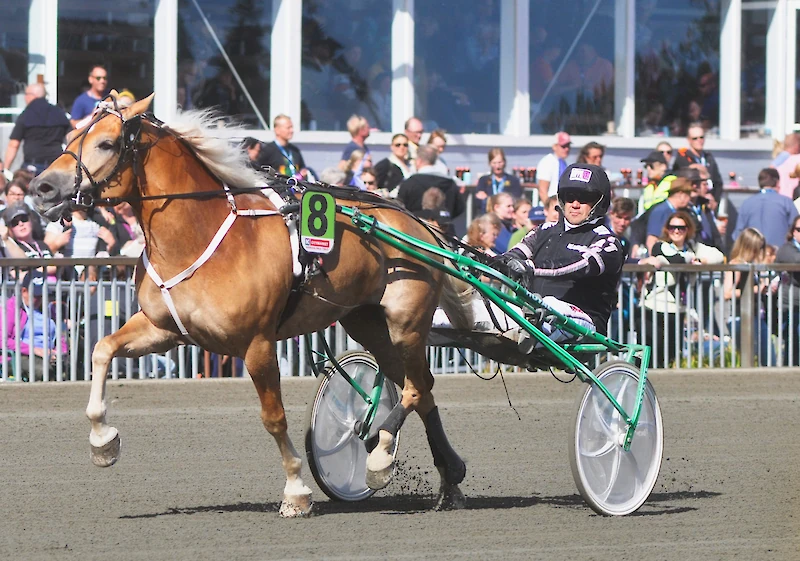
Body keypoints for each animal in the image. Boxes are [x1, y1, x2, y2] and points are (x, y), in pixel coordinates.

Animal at [28, 95, 472, 516]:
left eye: (106, 143)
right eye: (70, 138)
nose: (42, 187)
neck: (196, 236)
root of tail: (420, 224)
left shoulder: (257, 343)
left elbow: (273, 418)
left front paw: (296, 491)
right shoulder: (164, 331)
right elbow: (102, 350)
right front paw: (102, 441)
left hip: (405, 322)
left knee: (415, 387)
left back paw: (381, 455)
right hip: (366, 322)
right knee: (422, 387)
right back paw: (449, 478)